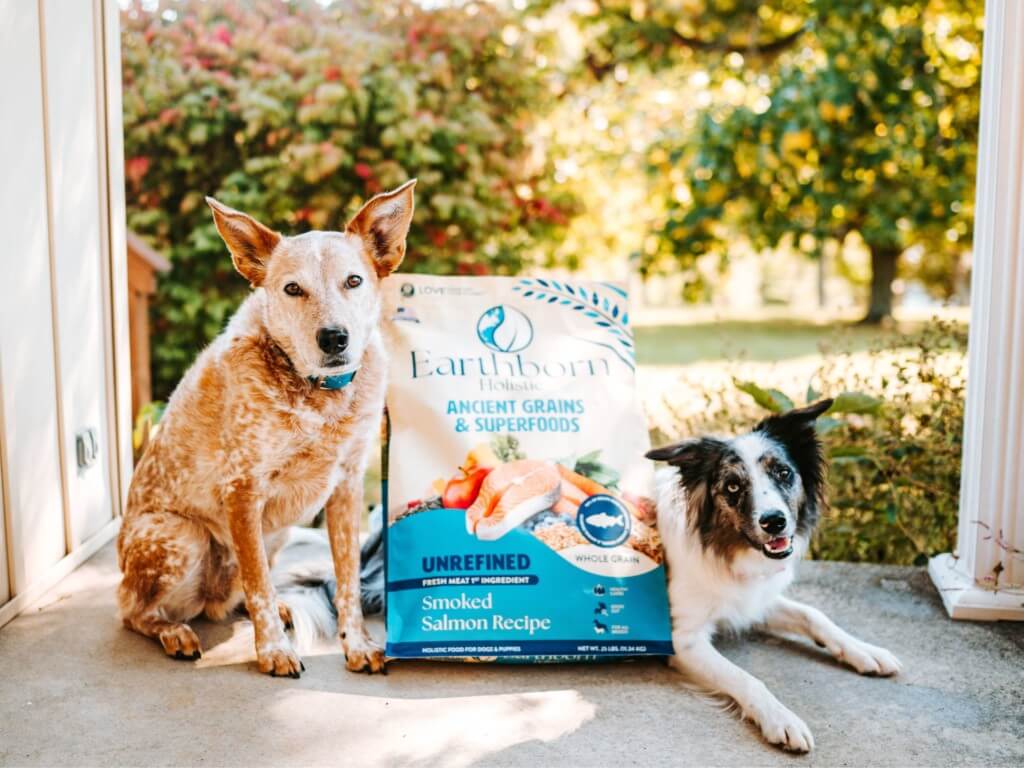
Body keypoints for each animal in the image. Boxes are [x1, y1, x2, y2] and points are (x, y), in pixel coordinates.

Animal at [115, 179, 411, 671]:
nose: (334, 337)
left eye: (353, 281)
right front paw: (272, 650)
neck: (319, 397)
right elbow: (258, 584)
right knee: (134, 610)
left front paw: (357, 643)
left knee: (240, 597)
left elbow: (346, 578)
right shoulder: (242, 489)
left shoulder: (347, 485)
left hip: (279, 531)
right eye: (293, 288)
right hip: (183, 537)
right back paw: (173, 631)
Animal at [651, 399, 901, 753]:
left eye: (783, 473)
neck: (727, 551)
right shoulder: (682, 640)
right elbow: (746, 678)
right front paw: (781, 719)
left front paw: (863, 649)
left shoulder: (753, 599)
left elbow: (814, 615)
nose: (774, 522)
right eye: (732, 486)